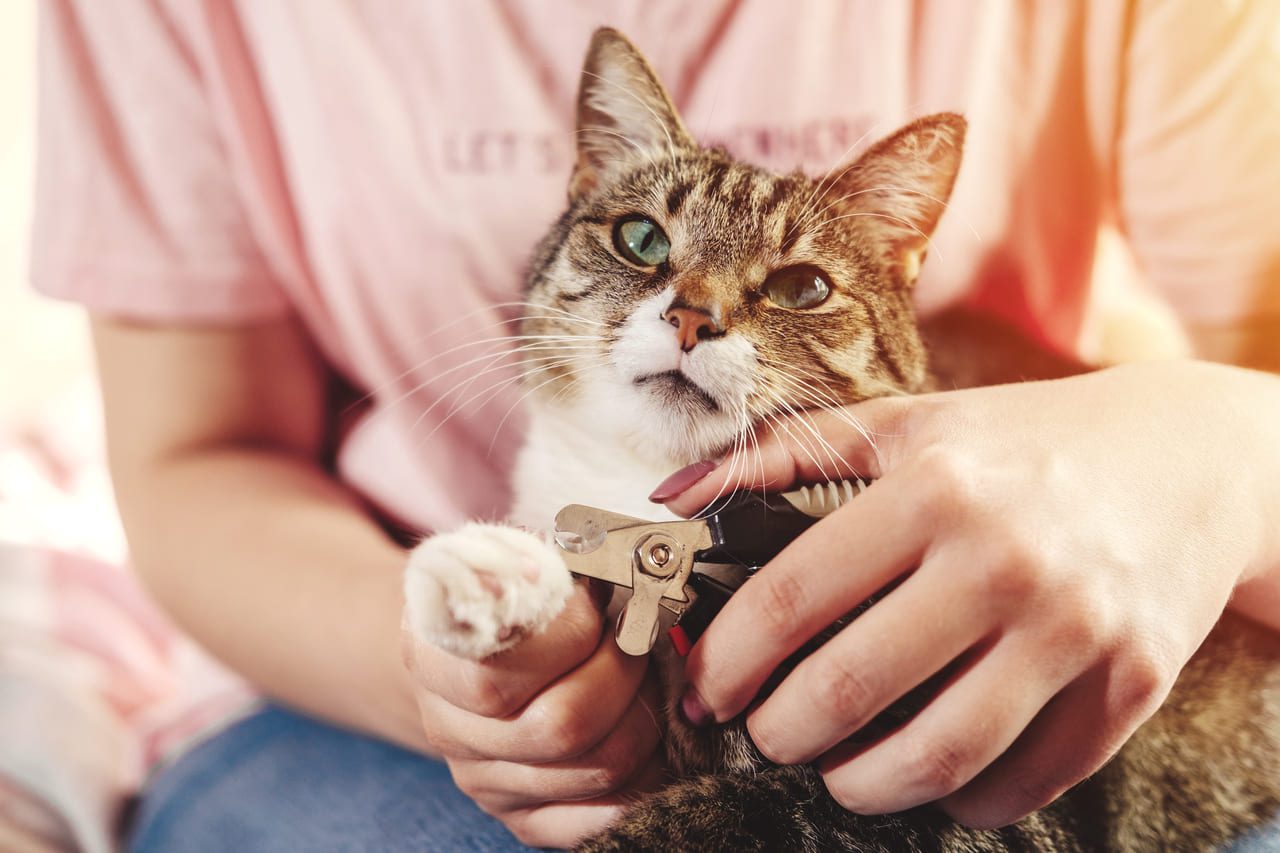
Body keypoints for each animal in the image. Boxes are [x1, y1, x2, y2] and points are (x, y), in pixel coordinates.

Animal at [407, 28, 1280, 850]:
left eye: (803, 287)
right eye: (642, 240)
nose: (691, 315)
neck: (647, 488)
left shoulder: (956, 807)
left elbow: (684, 822)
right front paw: (494, 573)